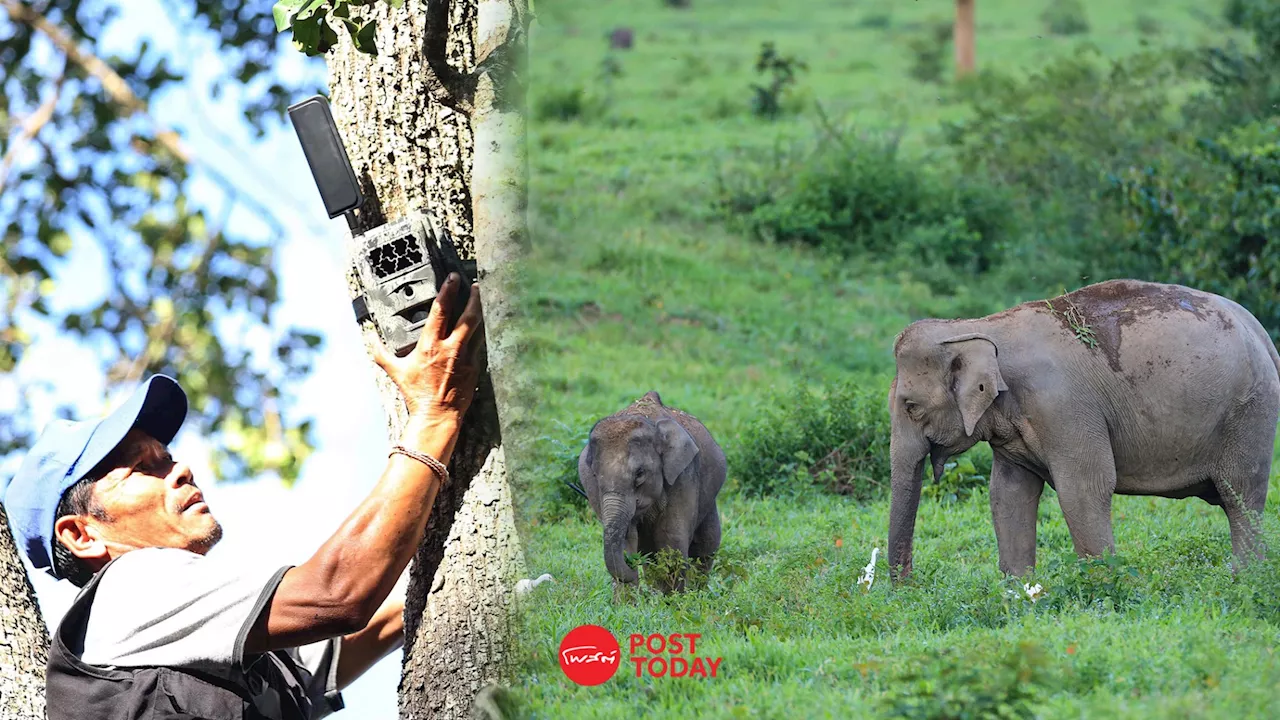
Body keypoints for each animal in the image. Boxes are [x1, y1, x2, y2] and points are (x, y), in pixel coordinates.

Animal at [578, 392, 727, 589]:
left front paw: (674, 599)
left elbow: (672, 540)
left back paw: (697, 591)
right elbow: (629, 540)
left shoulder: (683, 476)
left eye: (640, 473)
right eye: (595, 475)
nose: (631, 562)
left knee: (706, 544)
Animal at [885, 279, 1280, 576]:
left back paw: (1244, 580)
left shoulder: (1063, 406)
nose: (907, 589)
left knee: (1240, 495)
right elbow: (1008, 494)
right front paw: (1020, 594)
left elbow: (1085, 487)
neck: (978, 325)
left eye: (911, 407)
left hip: (1251, 411)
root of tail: (1261, 332)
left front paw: (1103, 587)